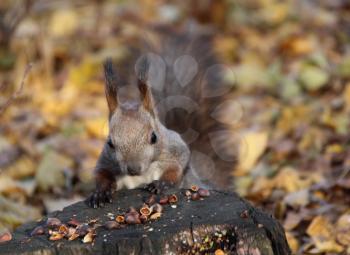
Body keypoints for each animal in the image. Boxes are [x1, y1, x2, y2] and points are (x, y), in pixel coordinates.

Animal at [86, 25, 235, 208]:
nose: (133, 169)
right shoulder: (106, 159)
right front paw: (101, 192)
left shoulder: (175, 149)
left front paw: (162, 183)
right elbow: (101, 172)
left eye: (154, 137)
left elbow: (177, 167)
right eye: (110, 143)